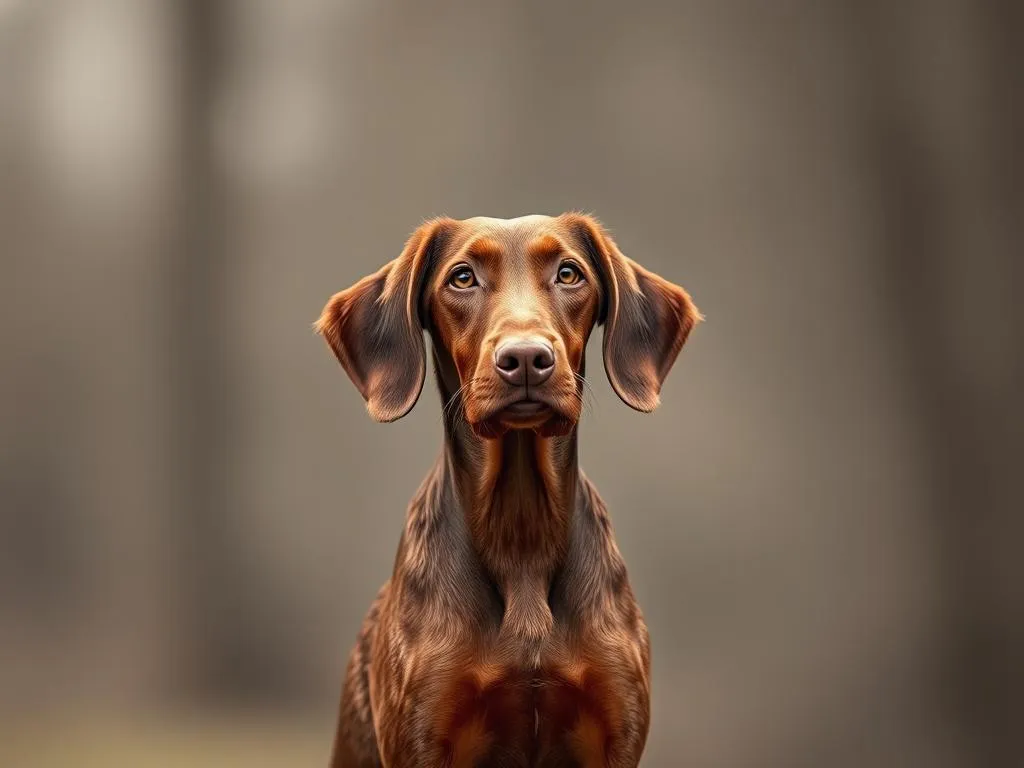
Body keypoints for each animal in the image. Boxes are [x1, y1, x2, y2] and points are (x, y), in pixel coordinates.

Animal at [317, 211, 704, 768]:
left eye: (569, 273)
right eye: (461, 277)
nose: (524, 358)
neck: (522, 530)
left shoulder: (617, 730)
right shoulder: (423, 735)